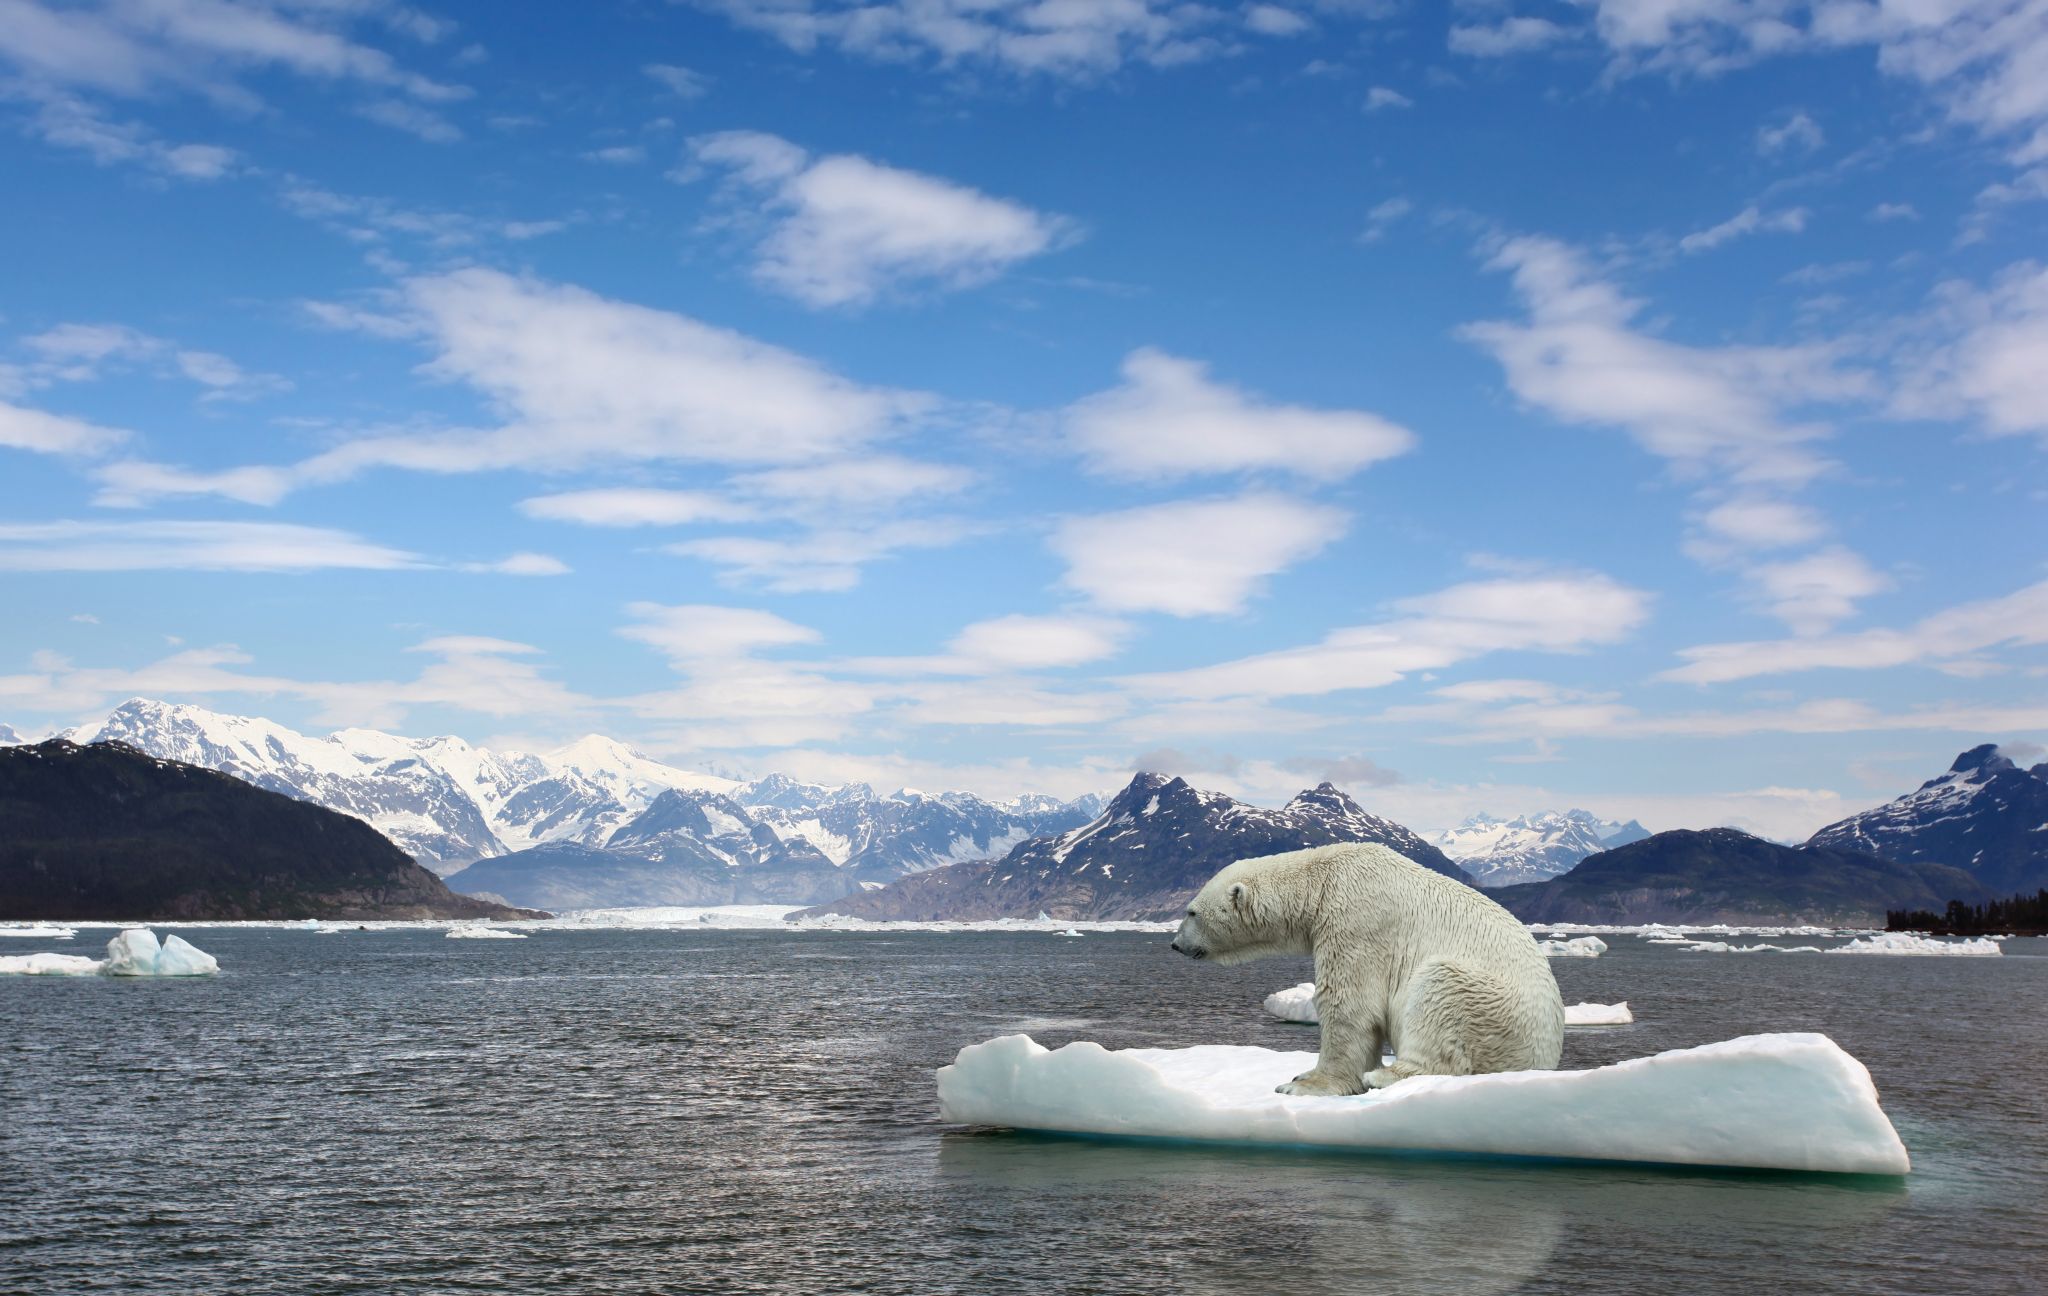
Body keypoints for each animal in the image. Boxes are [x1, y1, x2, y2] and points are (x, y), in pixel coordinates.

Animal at [1179, 839, 1556, 1089]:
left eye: (1191, 912)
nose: (1175, 943)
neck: (1322, 880)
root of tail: (1545, 1059)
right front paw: (1302, 1074)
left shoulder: (1356, 922)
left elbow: (1349, 1006)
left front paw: (1303, 1084)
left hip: (1494, 1008)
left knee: (1440, 992)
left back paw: (1385, 1074)